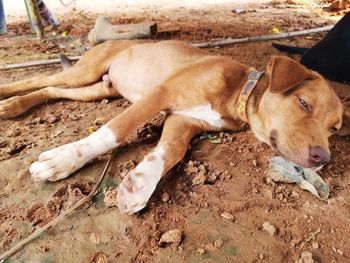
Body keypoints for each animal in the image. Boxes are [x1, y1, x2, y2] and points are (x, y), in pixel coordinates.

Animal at [0, 40, 344, 214]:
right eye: (304, 103)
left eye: (334, 128)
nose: (323, 158)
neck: (236, 92)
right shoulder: (161, 93)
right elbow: (115, 129)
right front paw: (63, 159)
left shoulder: (184, 120)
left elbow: (172, 151)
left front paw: (140, 183)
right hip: (86, 71)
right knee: (39, 79)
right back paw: (7, 98)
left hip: (98, 89)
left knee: (51, 90)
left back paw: (15, 105)